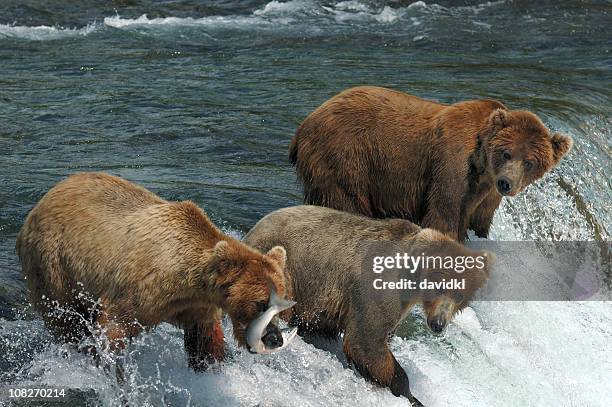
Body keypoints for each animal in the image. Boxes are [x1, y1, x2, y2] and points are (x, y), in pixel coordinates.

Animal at [16, 174, 296, 372]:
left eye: (281, 305)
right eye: (260, 303)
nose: (274, 338)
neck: (183, 278)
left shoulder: (197, 307)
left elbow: (205, 343)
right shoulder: (136, 290)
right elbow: (113, 331)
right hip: (53, 264)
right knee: (65, 320)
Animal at [244, 206, 492, 406]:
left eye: (460, 295)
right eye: (439, 286)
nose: (438, 324)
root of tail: (251, 231)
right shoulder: (380, 289)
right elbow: (366, 341)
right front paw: (409, 392)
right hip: (286, 267)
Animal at [288, 86, 572, 239]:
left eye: (530, 162)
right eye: (506, 153)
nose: (506, 183)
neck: (482, 166)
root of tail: (304, 124)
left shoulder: (485, 194)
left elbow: (480, 223)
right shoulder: (452, 165)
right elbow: (443, 215)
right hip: (345, 155)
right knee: (346, 200)